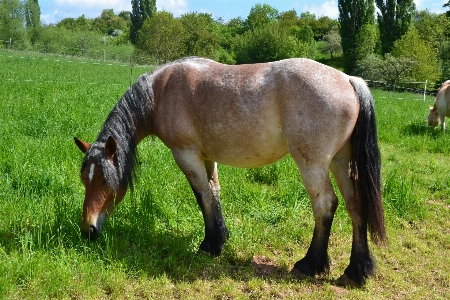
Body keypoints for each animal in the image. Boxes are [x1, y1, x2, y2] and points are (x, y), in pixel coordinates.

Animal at [74, 56, 386, 286]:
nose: (88, 230)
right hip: (340, 162)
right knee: (356, 206)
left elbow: (202, 195)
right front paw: (220, 238)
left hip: (313, 165)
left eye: (105, 180)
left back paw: (310, 264)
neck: (161, 91)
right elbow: (214, 192)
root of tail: (348, 79)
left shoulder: (186, 155)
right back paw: (356, 271)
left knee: (325, 206)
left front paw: (209, 245)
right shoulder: (206, 158)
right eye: (85, 180)